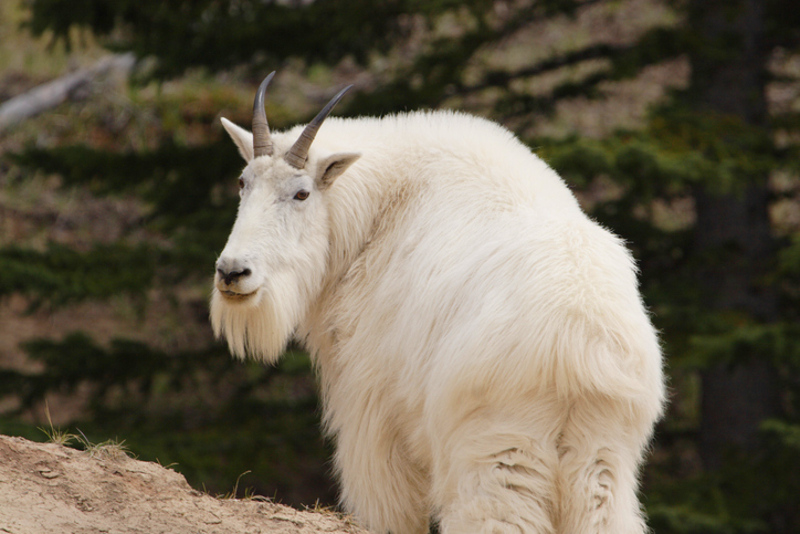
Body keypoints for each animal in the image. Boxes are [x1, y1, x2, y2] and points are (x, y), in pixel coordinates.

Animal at [209, 72, 664, 534]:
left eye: (301, 194)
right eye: (243, 183)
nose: (233, 272)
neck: (378, 213)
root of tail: (583, 343)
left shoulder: (373, 414)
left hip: (499, 449)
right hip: (601, 460)